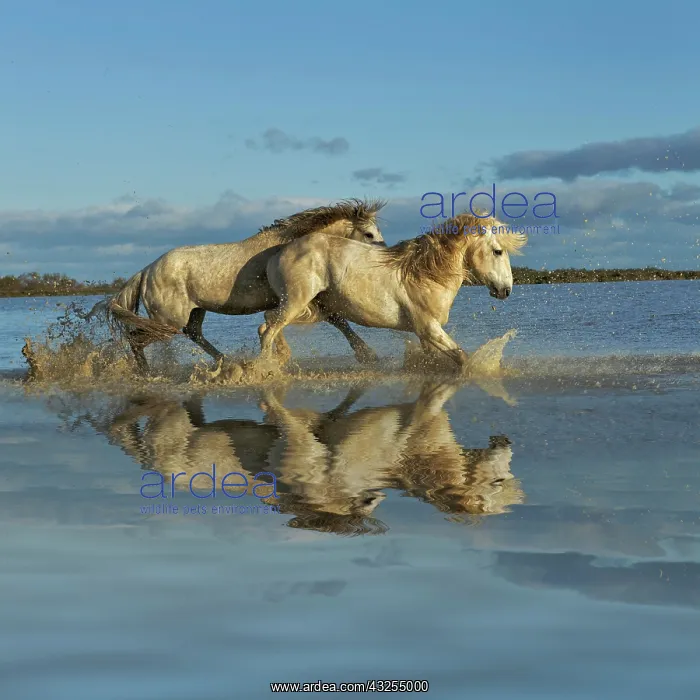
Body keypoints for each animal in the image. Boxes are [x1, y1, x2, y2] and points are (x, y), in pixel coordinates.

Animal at [87, 198, 386, 374]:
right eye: (369, 234)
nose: (384, 258)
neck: (289, 245)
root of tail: (146, 270)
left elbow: (336, 321)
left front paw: (368, 356)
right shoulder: (301, 299)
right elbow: (332, 320)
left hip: (194, 312)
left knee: (194, 334)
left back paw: (226, 361)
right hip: (168, 321)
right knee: (135, 338)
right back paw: (146, 373)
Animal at [259, 213, 527, 369]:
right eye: (498, 251)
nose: (506, 290)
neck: (425, 274)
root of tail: (277, 254)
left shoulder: (426, 335)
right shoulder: (428, 328)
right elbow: (463, 357)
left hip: (307, 307)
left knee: (268, 322)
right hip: (295, 302)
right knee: (268, 330)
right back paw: (263, 369)